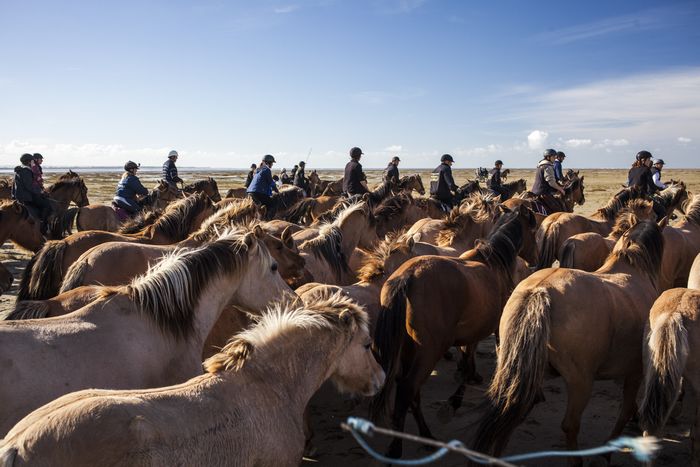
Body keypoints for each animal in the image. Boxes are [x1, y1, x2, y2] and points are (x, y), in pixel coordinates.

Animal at [474, 220, 664, 467]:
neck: (633, 270)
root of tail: (540, 289)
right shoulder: (635, 371)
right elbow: (625, 411)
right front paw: (606, 451)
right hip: (580, 382)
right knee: (569, 425)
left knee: (509, 414)